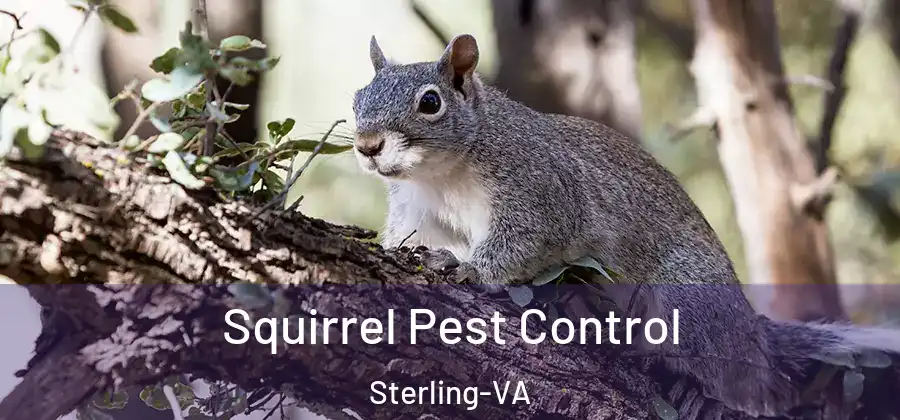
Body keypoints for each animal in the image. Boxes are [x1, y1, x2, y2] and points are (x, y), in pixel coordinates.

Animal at [351, 34, 900, 418]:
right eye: (358, 97)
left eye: (430, 102)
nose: (366, 145)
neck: (442, 173)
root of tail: (751, 333)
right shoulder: (418, 211)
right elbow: (410, 238)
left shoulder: (543, 191)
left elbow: (524, 241)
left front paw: (468, 269)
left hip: (689, 300)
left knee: (740, 382)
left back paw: (700, 391)